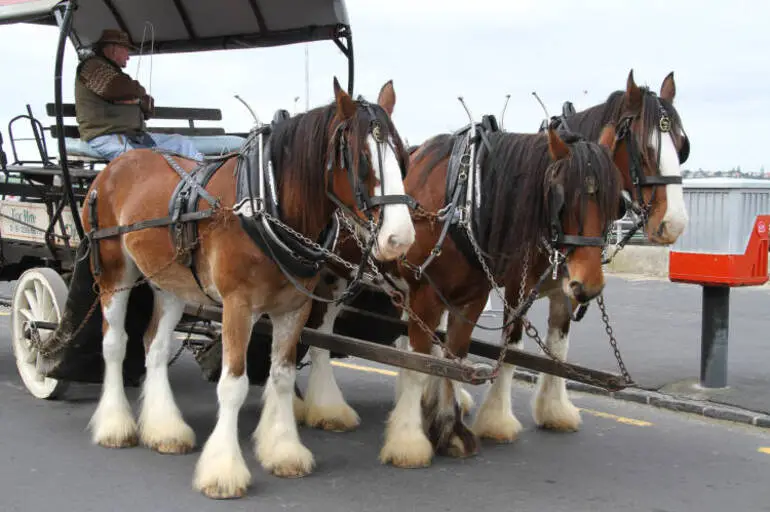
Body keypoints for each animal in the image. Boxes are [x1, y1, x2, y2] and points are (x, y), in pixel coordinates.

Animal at [73, 78, 414, 498]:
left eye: (402, 157)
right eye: (362, 159)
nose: (401, 238)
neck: (266, 201)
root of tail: (113, 168)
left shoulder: (294, 309)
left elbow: (281, 377)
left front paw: (283, 450)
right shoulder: (237, 305)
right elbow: (233, 385)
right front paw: (224, 471)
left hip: (170, 282)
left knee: (155, 345)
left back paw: (164, 429)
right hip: (114, 274)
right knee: (115, 344)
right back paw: (114, 424)